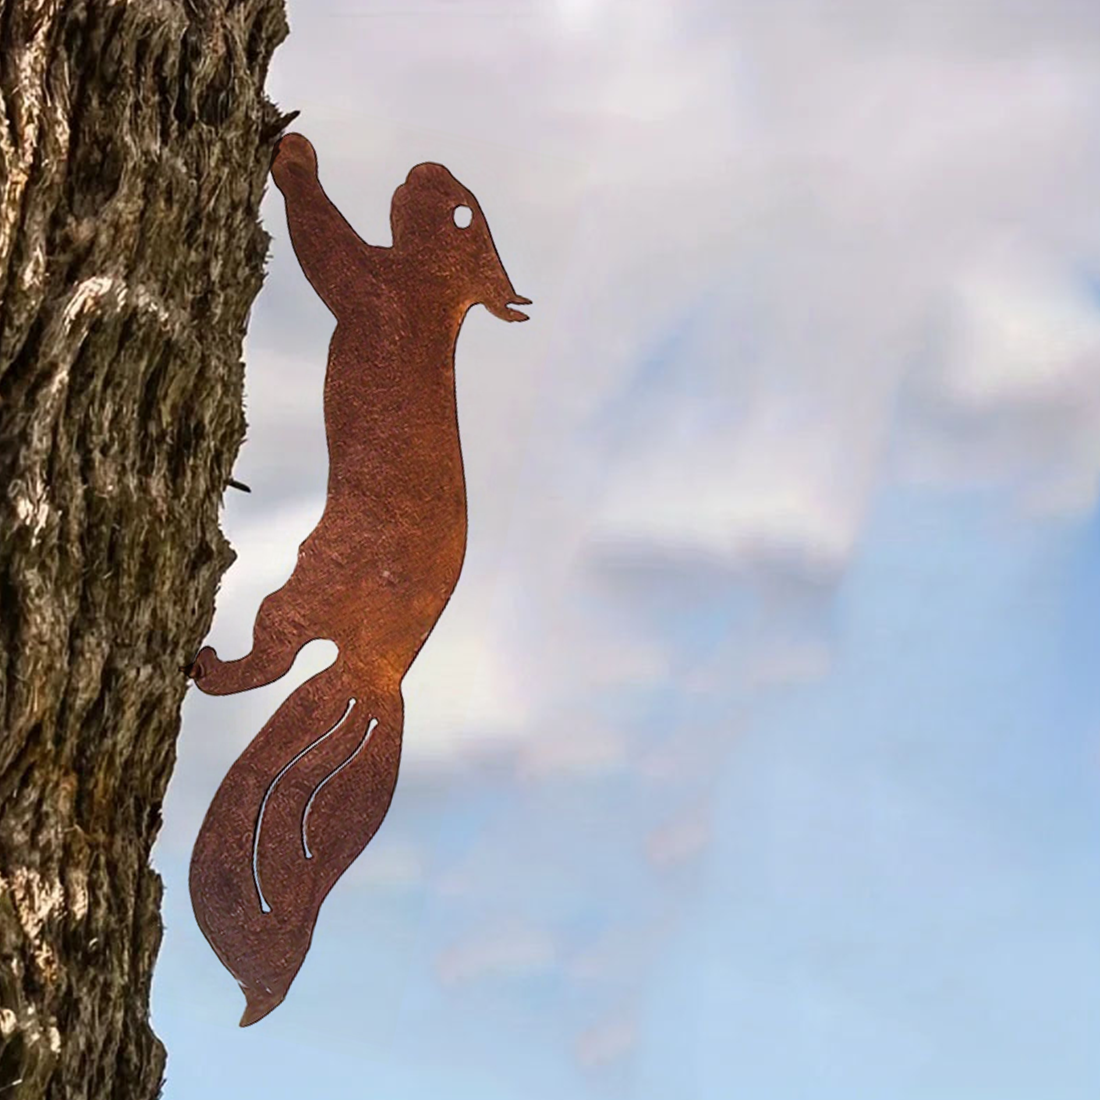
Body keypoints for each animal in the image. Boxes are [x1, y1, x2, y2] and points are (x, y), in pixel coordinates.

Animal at [184, 133, 529, 1027]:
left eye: (461, 213)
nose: (425, 170)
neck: (435, 301)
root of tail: (379, 675)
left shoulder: (373, 289)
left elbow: (325, 244)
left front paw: (295, 157)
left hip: (305, 586)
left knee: (267, 660)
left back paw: (206, 664)